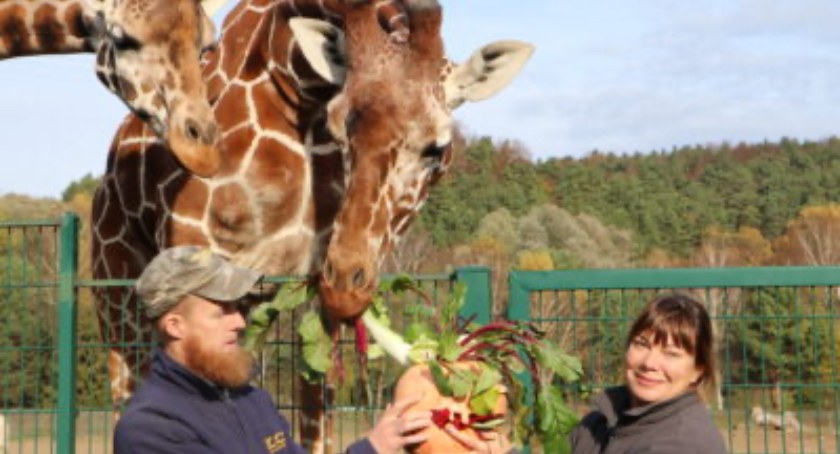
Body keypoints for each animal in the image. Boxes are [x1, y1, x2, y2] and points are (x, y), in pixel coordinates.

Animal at [90, 0, 532, 448]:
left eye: (436, 149)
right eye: (341, 131)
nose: (347, 289)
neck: (294, 91)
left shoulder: (309, 281)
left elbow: (316, 414)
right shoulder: (195, 240)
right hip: (117, 292)